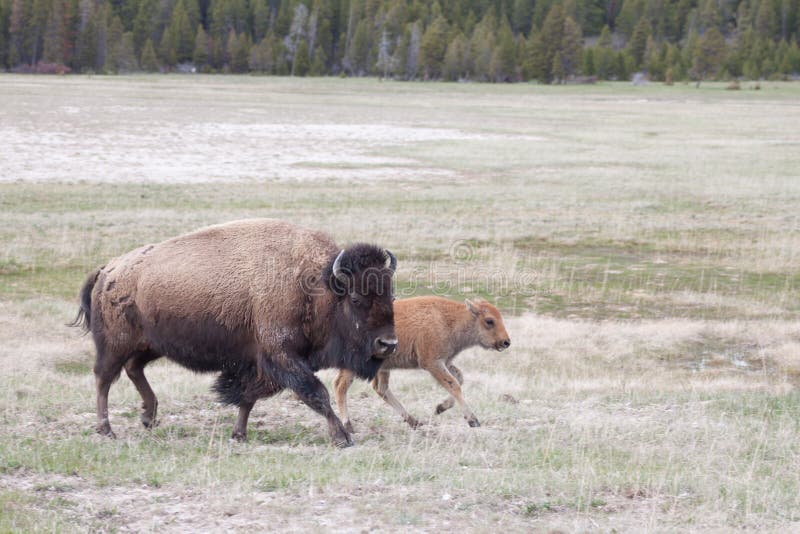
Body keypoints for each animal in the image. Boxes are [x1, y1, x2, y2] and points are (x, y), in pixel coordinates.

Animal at [71, 219, 397, 447]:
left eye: (390, 295)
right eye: (356, 298)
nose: (388, 343)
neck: (317, 285)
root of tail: (108, 270)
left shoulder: (258, 362)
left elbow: (248, 397)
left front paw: (238, 434)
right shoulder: (282, 356)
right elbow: (317, 393)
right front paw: (342, 437)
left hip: (150, 345)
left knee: (133, 369)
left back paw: (148, 417)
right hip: (115, 345)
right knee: (104, 378)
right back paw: (106, 429)